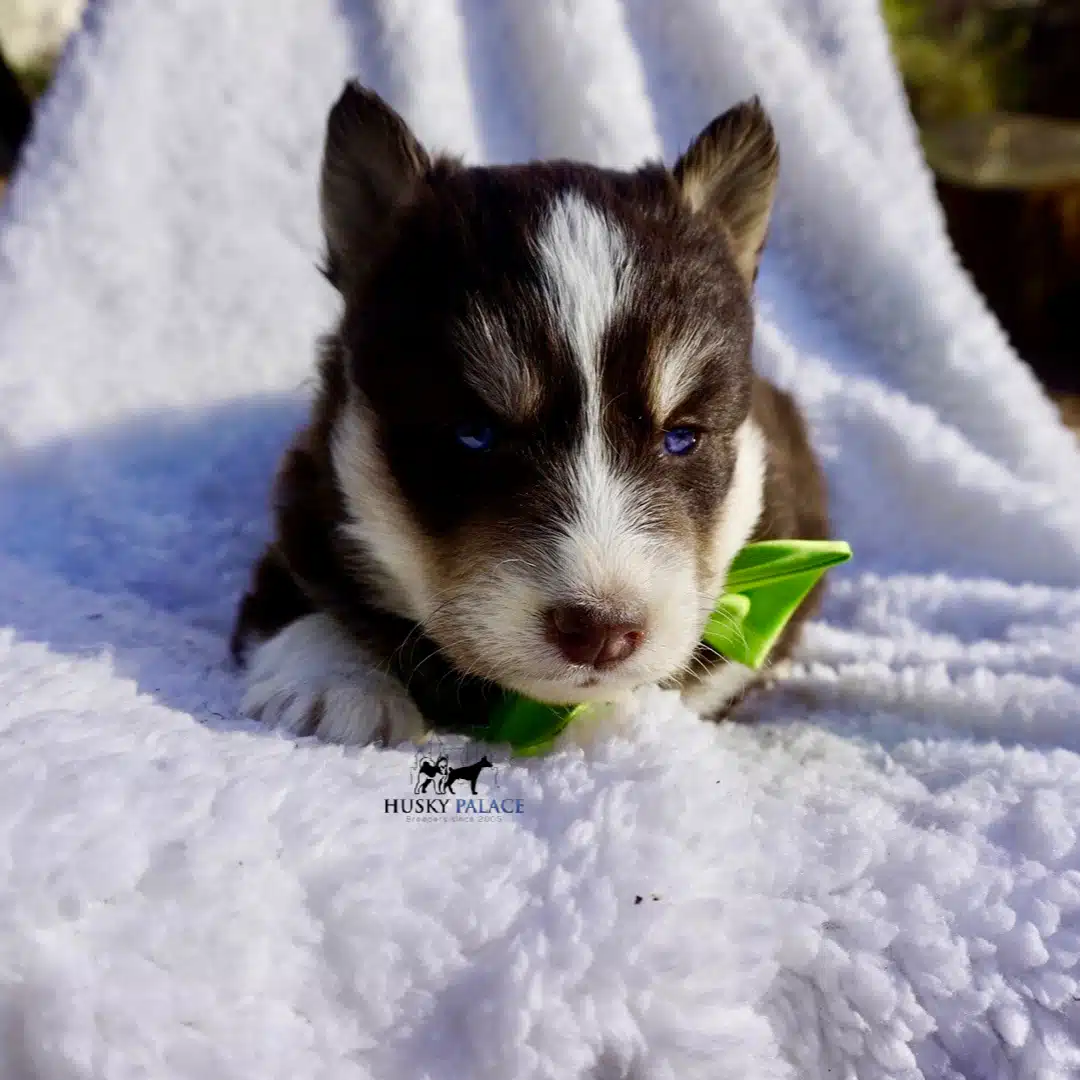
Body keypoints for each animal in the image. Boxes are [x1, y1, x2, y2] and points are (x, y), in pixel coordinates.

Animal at [232, 84, 829, 747]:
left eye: (681, 438)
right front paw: (339, 690)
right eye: (473, 434)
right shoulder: (307, 504)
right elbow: (302, 601)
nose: (601, 632)